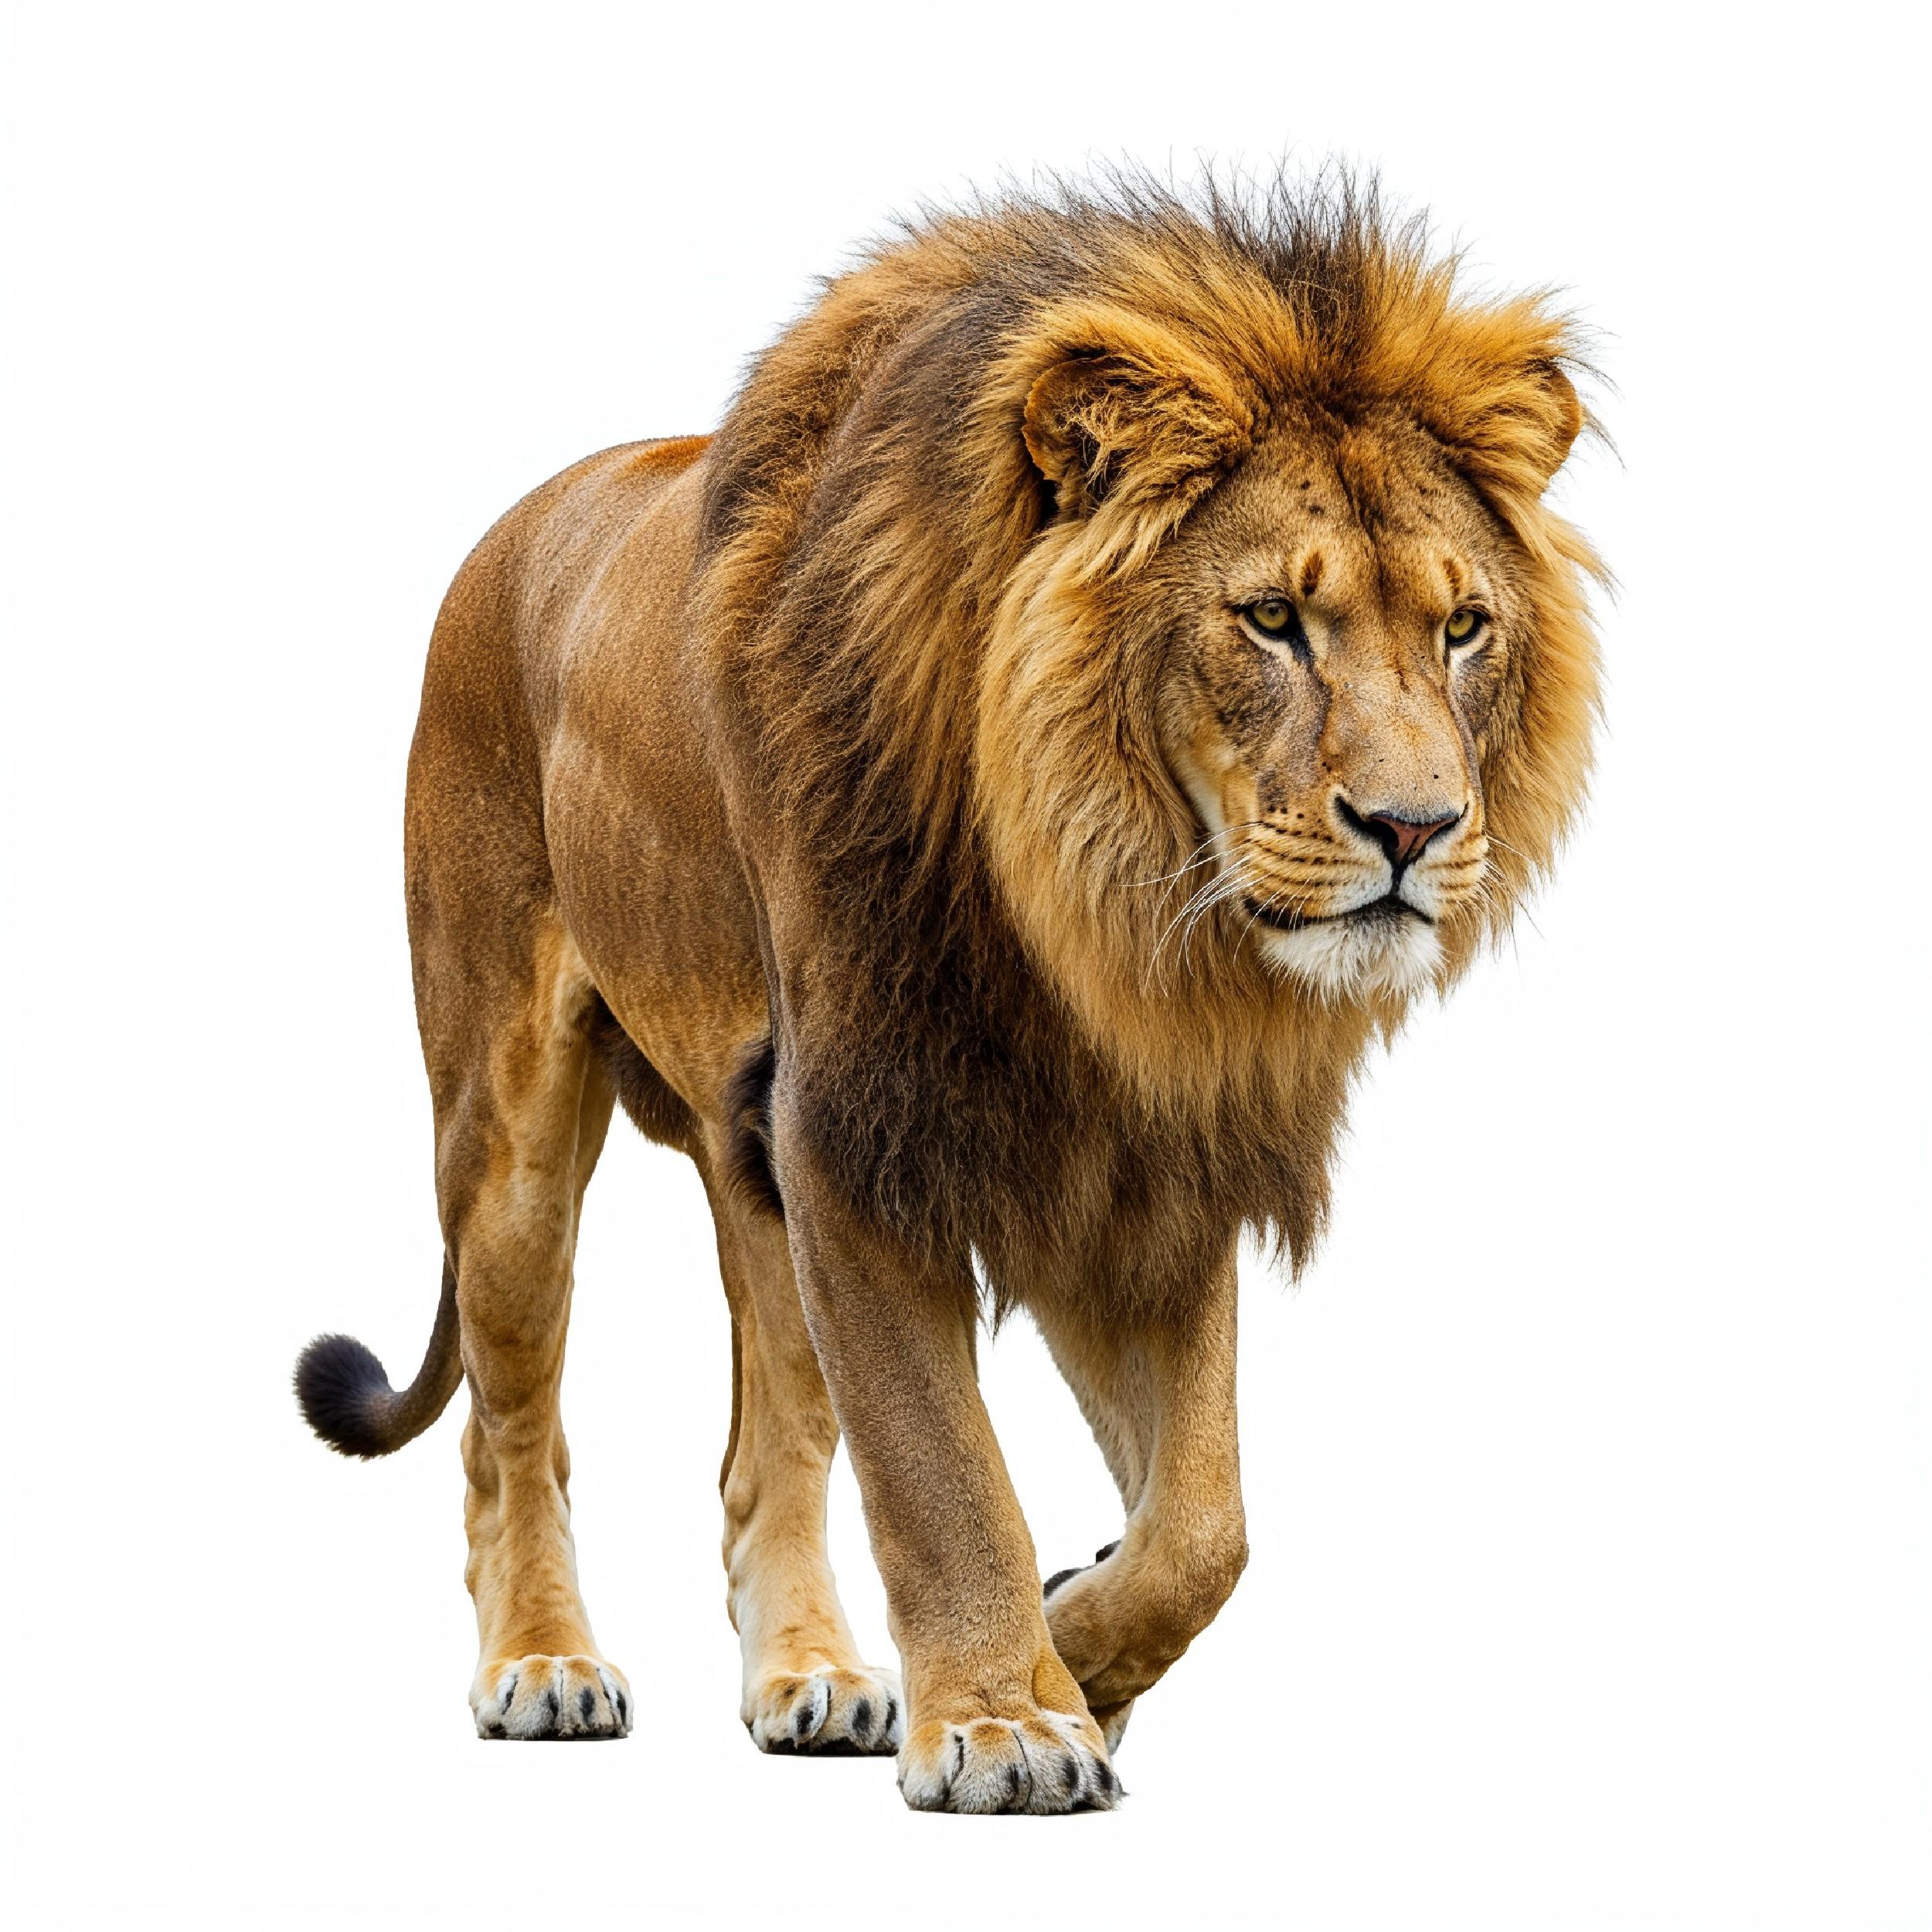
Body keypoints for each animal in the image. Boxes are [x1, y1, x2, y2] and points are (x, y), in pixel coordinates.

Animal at [294, 170, 1603, 1814]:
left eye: (1462, 627)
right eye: (1270, 621)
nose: (1418, 831)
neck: (1100, 916)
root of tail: (517, 522)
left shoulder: (1142, 1162)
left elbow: (1208, 1523)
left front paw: (1077, 1649)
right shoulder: (856, 1125)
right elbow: (940, 1464)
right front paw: (1002, 1719)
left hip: (744, 1158)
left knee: (767, 1451)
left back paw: (812, 1677)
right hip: (509, 1127)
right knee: (508, 1422)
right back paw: (543, 1662)